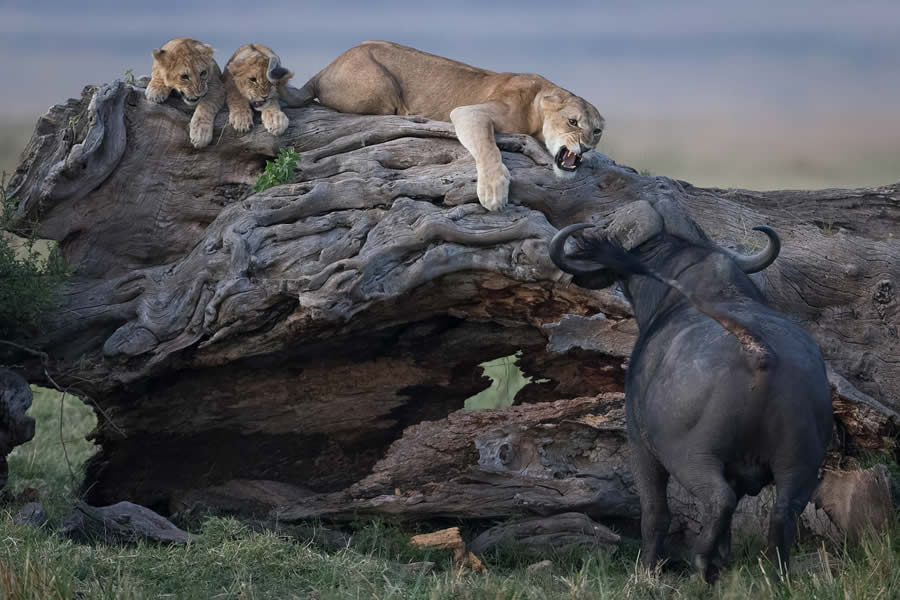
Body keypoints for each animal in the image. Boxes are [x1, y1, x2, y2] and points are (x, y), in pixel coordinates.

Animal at [552, 203, 832, 580]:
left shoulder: (640, 446)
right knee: (782, 511)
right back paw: (773, 574)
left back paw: (702, 563)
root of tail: (759, 352)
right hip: (800, 462)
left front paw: (647, 571)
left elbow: (654, 513)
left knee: (717, 499)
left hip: (690, 457)